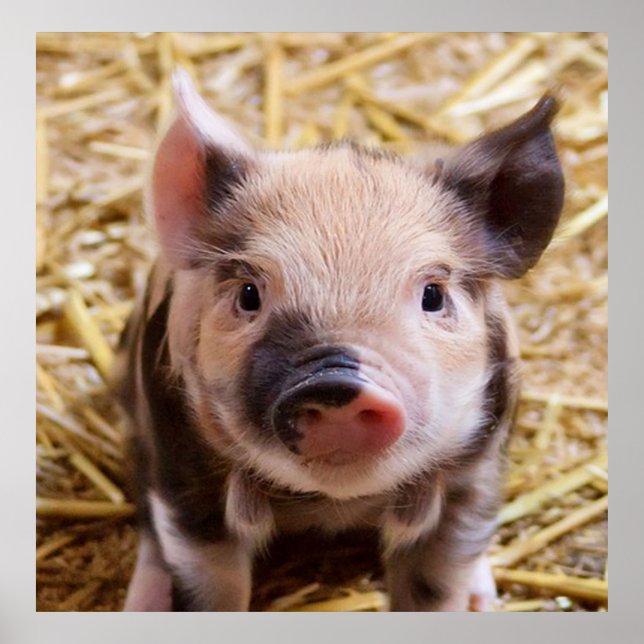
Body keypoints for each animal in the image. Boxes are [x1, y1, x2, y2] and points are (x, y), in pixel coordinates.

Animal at [114, 70, 564, 612]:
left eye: (433, 295)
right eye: (249, 294)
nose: (336, 381)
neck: (333, 503)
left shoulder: (475, 473)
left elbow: (437, 581)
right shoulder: (182, 467)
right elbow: (210, 585)